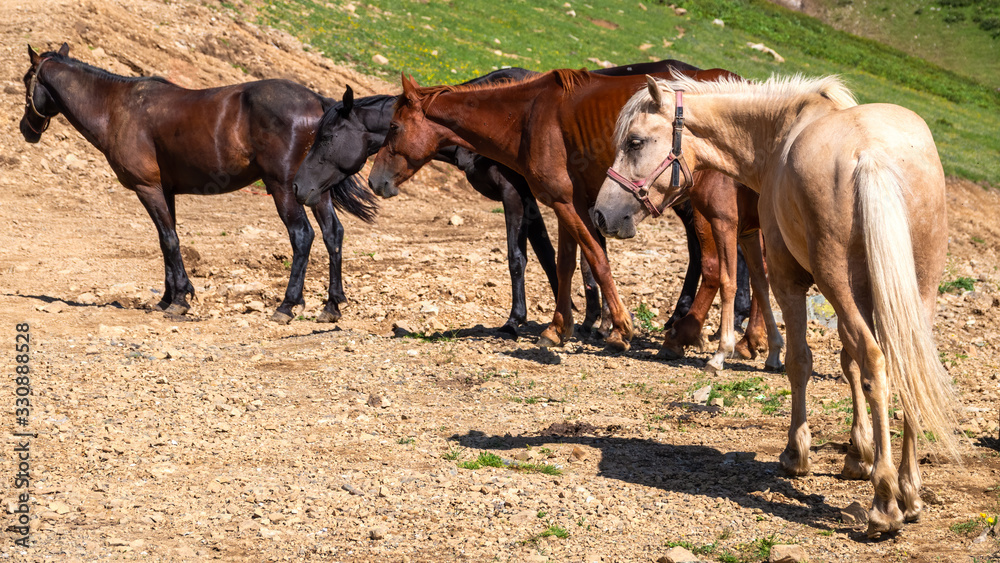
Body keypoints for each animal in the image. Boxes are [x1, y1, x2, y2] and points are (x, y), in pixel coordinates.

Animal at [19, 44, 377, 323]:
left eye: (26, 80)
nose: (26, 129)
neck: (116, 107)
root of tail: (316, 103)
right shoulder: (165, 191)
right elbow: (167, 240)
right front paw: (167, 297)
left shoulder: (148, 189)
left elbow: (169, 240)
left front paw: (179, 300)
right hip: (315, 191)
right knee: (333, 234)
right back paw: (331, 306)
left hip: (284, 189)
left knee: (302, 236)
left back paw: (286, 305)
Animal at [292, 64, 748, 339]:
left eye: (395, 128)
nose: (377, 180)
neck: (527, 117)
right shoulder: (562, 202)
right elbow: (564, 261)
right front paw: (565, 325)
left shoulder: (536, 198)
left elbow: (569, 258)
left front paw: (612, 323)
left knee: (715, 260)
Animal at [593, 73, 961, 537]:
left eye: (636, 142)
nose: (601, 214)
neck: (780, 132)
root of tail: (872, 154)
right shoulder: (863, 292)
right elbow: (847, 361)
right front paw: (858, 454)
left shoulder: (791, 282)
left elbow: (800, 361)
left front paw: (797, 454)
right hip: (916, 290)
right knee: (908, 363)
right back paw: (910, 493)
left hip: (839, 282)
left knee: (876, 362)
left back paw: (884, 504)